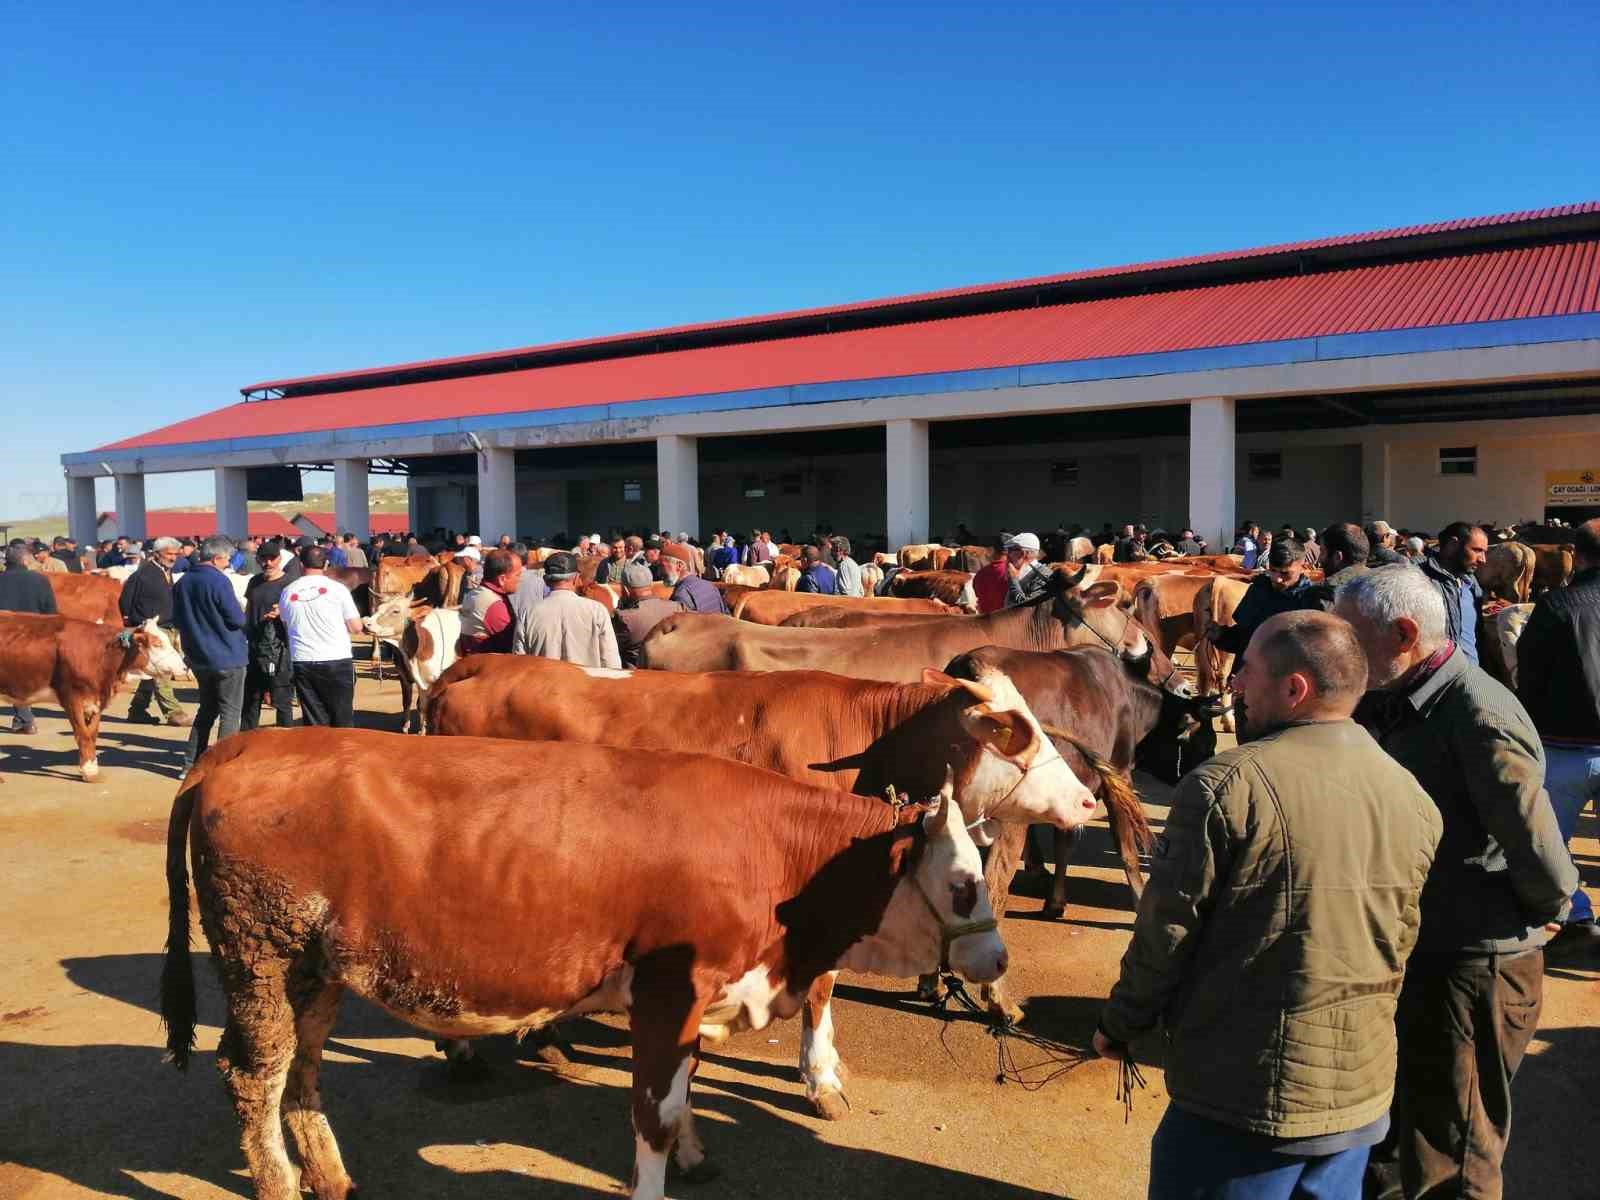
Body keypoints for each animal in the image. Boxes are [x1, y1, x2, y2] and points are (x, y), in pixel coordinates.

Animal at [0, 614, 188, 784]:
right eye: (157, 644)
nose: (184, 667)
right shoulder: (73, 698)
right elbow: (83, 734)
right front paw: (89, 771)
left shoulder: (96, 700)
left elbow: (92, 733)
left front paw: (91, 768)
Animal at [162, 732, 1004, 1200]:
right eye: (963, 884)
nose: (996, 958)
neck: (778, 855)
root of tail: (237, 749)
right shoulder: (671, 986)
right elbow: (653, 1111)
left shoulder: (695, 997)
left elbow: (683, 1087)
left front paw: (693, 1154)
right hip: (260, 954)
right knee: (255, 1075)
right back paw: (280, 1184)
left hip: (316, 970)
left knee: (301, 1071)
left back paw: (329, 1174)